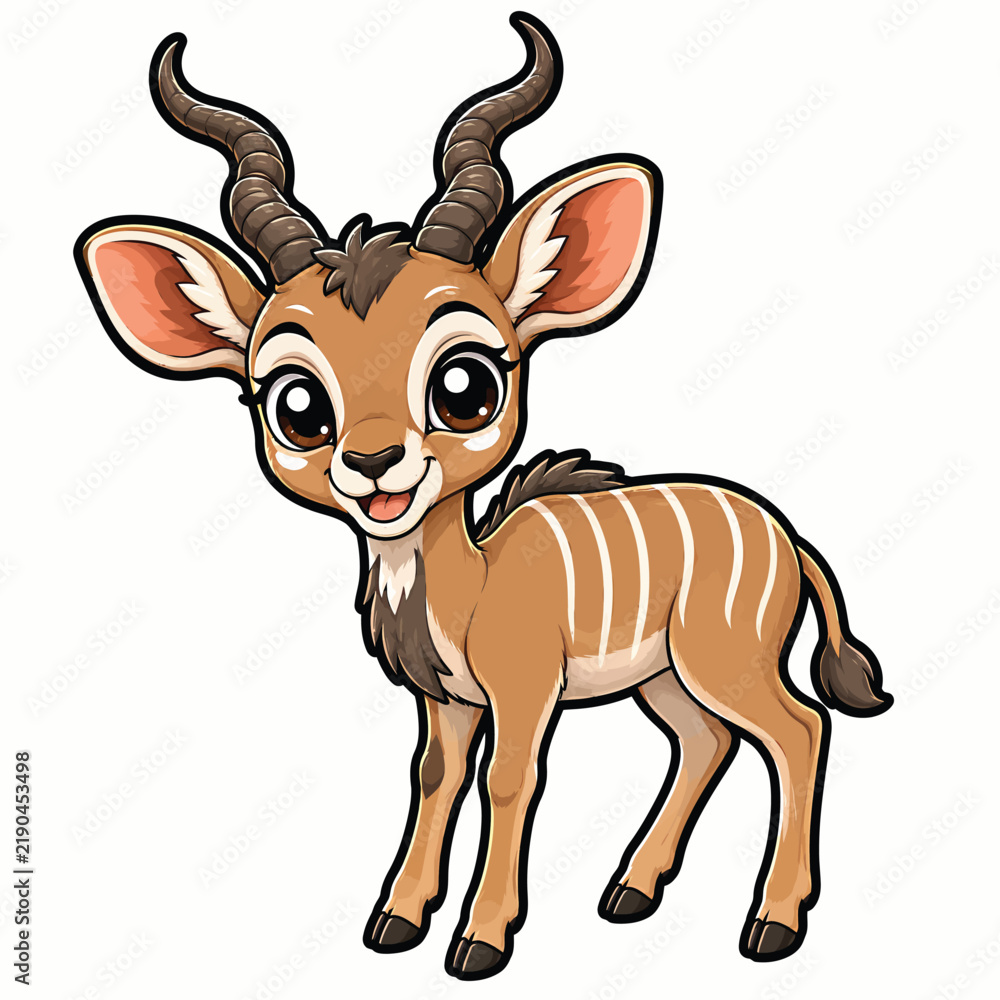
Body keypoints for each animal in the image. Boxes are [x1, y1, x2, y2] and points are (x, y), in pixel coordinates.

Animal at [76, 13, 892, 981]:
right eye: (295, 403)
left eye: (465, 383)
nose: (375, 464)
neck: (471, 589)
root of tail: (784, 533)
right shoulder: (448, 703)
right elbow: (435, 777)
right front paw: (395, 921)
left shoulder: (524, 693)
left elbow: (510, 781)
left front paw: (478, 940)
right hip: (667, 678)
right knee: (708, 742)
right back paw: (629, 892)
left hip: (724, 660)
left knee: (800, 730)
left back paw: (772, 925)